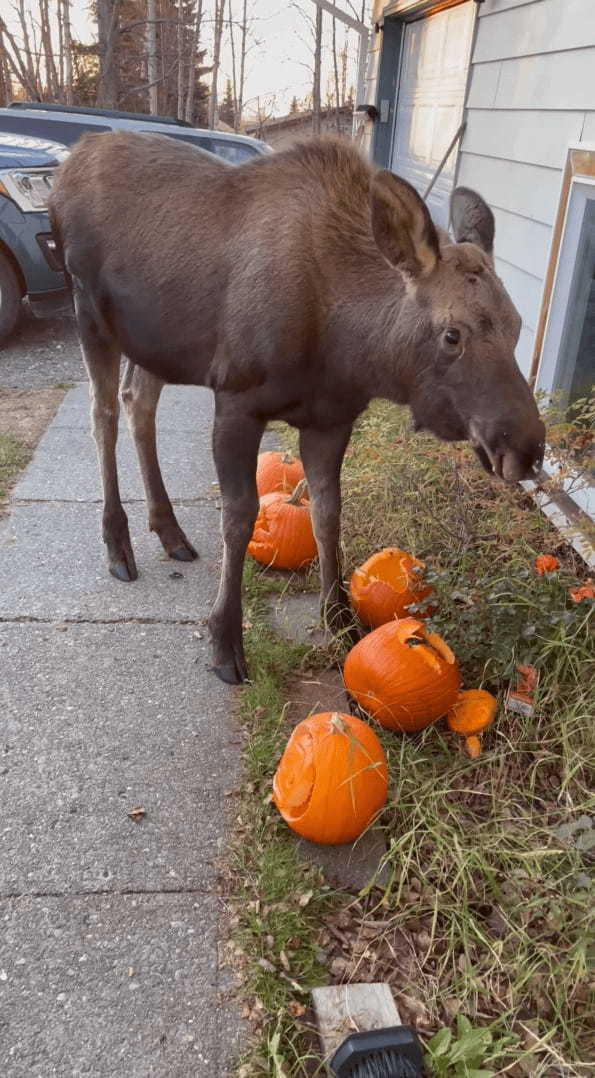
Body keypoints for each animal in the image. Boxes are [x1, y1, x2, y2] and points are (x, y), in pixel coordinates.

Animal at [48, 134, 545, 681]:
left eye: (518, 326)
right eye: (452, 334)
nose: (526, 448)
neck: (346, 349)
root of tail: (69, 163)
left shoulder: (331, 418)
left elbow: (327, 513)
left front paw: (340, 619)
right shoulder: (236, 400)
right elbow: (239, 518)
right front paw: (225, 641)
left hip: (154, 342)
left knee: (138, 404)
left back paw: (169, 530)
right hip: (89, 312)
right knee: (103, 416)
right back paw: (118, 544)